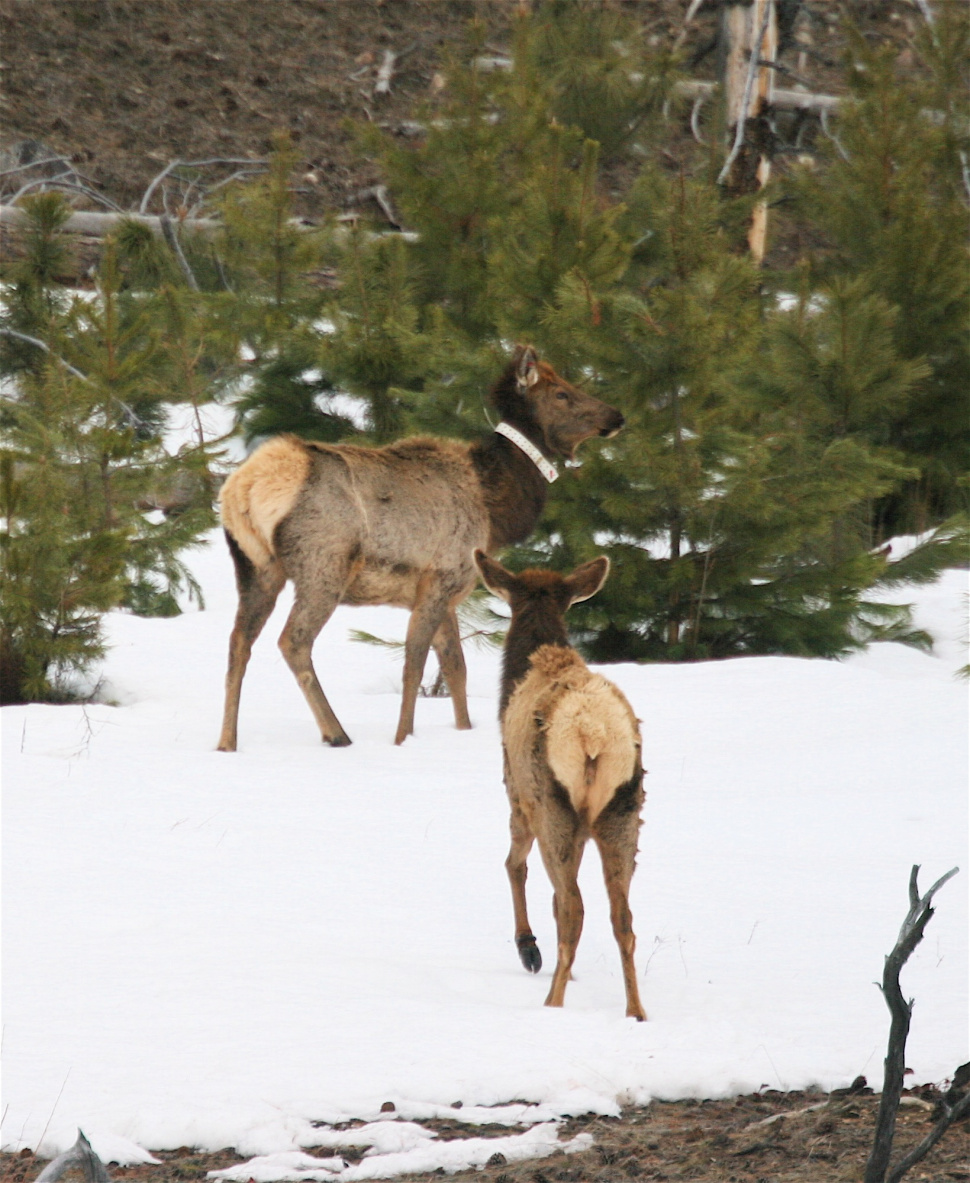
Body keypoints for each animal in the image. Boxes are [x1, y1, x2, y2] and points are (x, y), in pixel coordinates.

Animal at [216, 345, 625, 751]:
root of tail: (246, 485)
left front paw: (463, 729)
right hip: (323, 564)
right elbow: (414, 664)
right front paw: (402, 738)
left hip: (255, 566)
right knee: (293, 641)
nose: (616, 415)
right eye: (562, 393)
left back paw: (227, 742)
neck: (495, 511)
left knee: (238, 640)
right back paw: (336, 733)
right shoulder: (441, 576)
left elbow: (455, 667)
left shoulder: (449, 589)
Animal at [473, 549, 646, 1021]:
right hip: (623, 810)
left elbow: (514, 865)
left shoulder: (515, 790)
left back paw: (552, 1002)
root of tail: (592, 734)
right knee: (623, 919)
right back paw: (635, 1011)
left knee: (572, 906)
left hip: (551, 802)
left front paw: (529, 949)